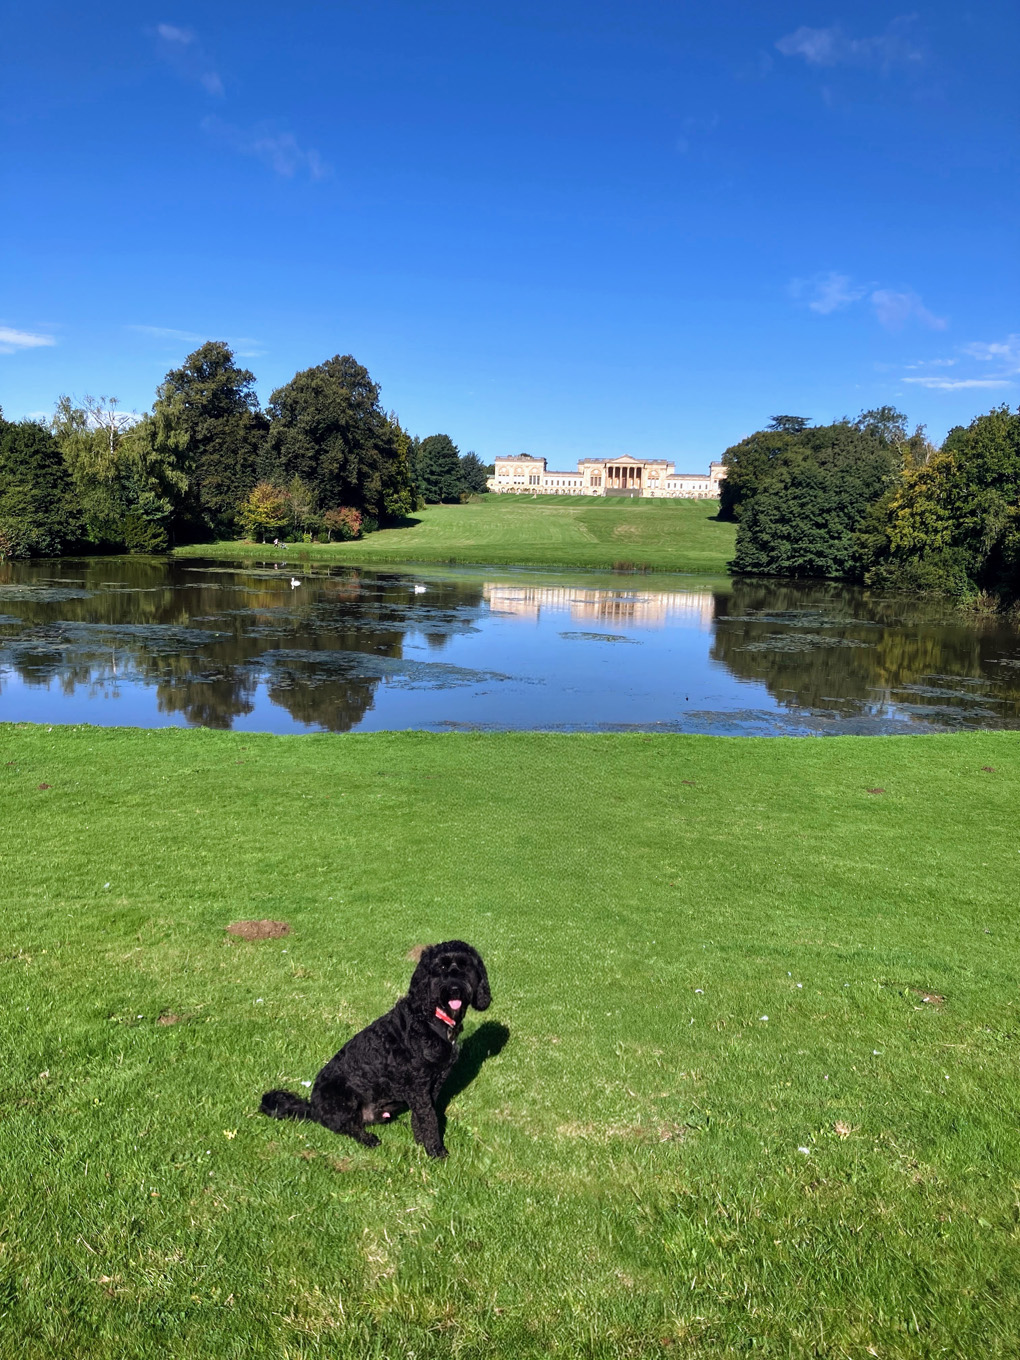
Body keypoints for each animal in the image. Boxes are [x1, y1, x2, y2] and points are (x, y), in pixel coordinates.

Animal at [261, 946, 489, 1158]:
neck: (431, 1018)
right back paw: (368, 1139)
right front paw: (436, 1151)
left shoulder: (434, 1083)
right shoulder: (418, 1086)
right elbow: (429, 1118)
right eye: (440, 967)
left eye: (465, 965)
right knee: (346, 1127)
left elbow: (422, 1116)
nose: (454, 988)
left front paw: (419, 1142)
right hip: (342, 1098)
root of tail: (313, 1107)